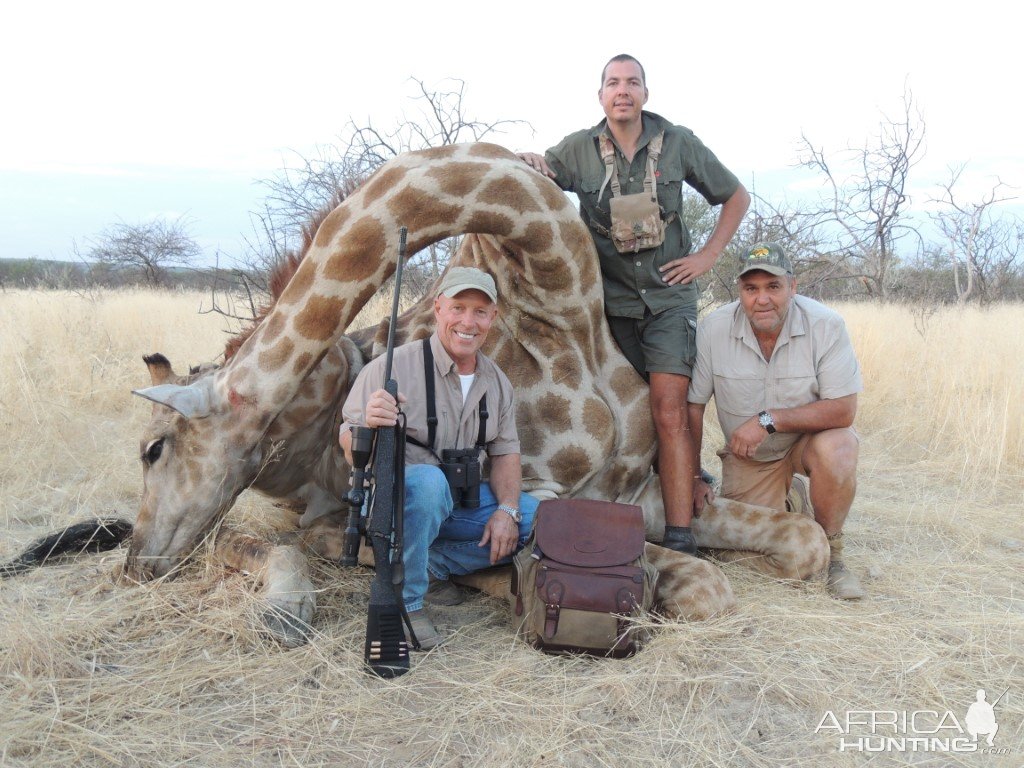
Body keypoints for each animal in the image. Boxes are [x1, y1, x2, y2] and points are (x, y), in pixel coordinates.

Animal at [130, 143, 831, 643]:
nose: (137, 561)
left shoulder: (639, 494)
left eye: (154, 450)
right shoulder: (547, 496)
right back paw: (293, 607)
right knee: (284, 534)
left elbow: (805, 544)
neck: (566, 308)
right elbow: (694, 583)